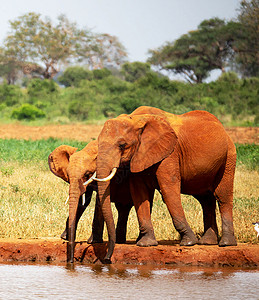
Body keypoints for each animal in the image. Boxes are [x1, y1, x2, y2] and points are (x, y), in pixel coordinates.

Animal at [90, 105, 239, 262]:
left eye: (122, 145)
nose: (107, 259)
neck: (136, 120)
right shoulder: (139, 156)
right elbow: (139, 193)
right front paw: (146, 244)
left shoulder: (170, 153)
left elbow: (168, 189)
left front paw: (188, 242)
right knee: (206, 199)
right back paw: (207, 242)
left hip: (229, 156)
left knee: (222, 196)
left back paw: (226, 243)